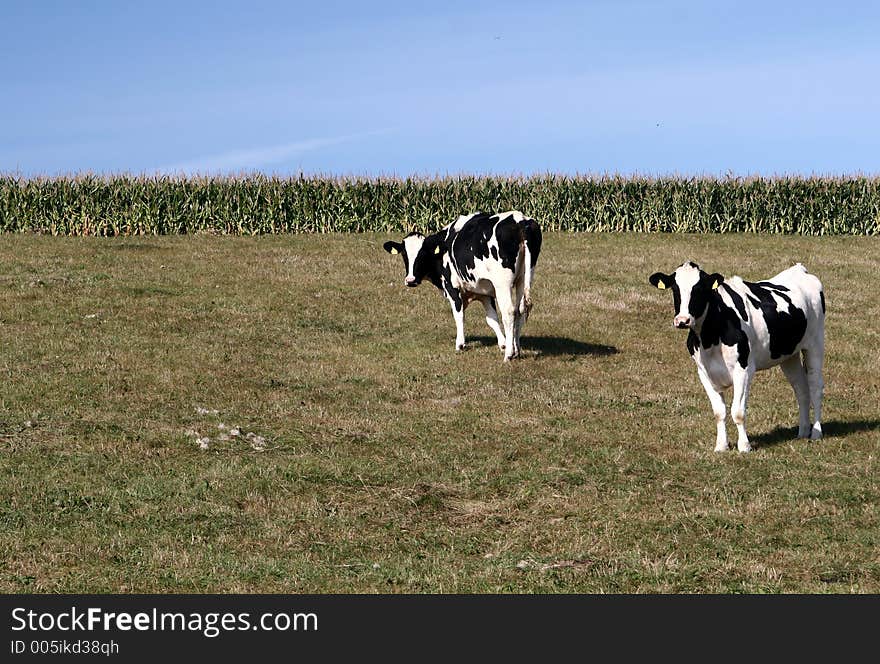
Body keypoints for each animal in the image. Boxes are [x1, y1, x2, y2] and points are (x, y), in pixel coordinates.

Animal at [382, 210, 540, 360]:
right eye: (404, 254)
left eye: (423, 254)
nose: (410, 280)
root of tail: (520, 220)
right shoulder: (484, 291)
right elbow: (492, 319)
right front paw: (503, 343)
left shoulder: (452, 287)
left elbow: (459, 315)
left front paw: (460, 344)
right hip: (523, 279)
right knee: (520, 310)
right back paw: (516, 350)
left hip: (503, 284)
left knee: (509, 312)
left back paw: (509, 355)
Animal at [648, 262, 824, 454]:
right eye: (675, 288)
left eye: (700, 289)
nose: (682, 320)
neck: (710, 338)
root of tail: (799, 269)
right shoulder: (704, 372)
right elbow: (719, 412)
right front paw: (721, 445)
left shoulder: (744, 369)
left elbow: (738, 412)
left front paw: (744, 446)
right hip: (788, 355)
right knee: (801, 389)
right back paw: (802, 432)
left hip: (815, 345)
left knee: (815, 388)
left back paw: (816, 432)